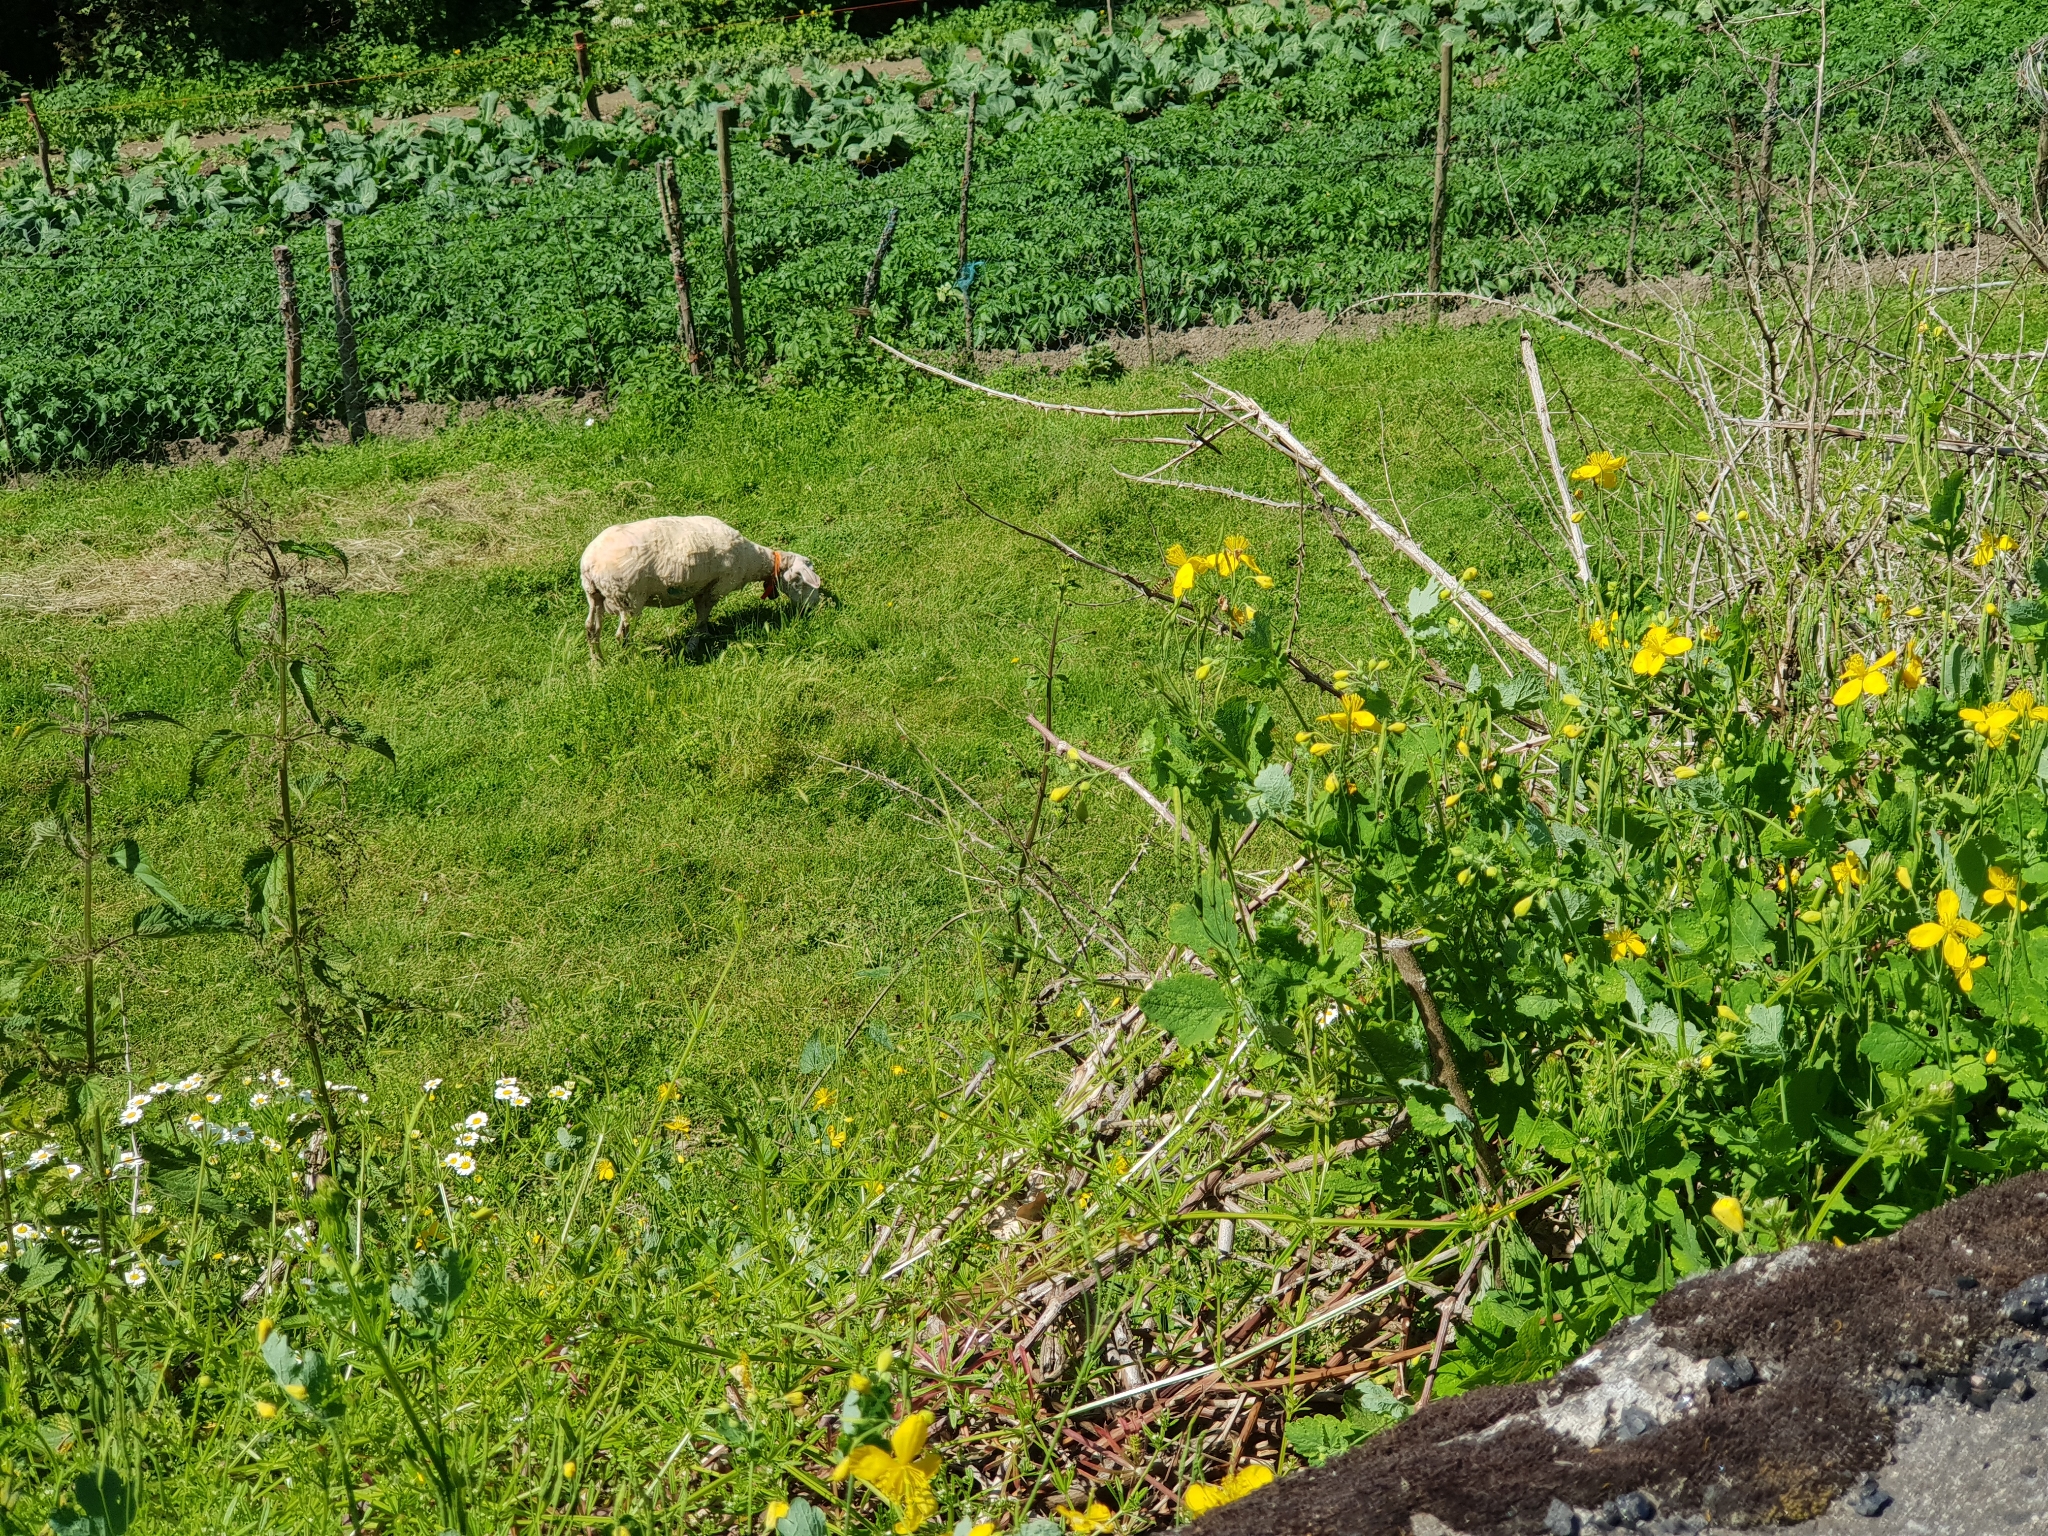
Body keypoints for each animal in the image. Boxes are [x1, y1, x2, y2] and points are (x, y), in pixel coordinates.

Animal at [579, 516, 823, 658]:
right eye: (800, 581)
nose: (814, 606)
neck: (751, 560)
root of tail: (590, 564)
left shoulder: (701, 588)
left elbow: (701, 614)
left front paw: (701, 637)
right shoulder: (716, 587)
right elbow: (703, 613)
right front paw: (695, 642)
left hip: (595, 595)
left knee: (591, 628)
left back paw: (598, 664)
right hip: (629, 597)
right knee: (621, 635)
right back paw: (628, 660)